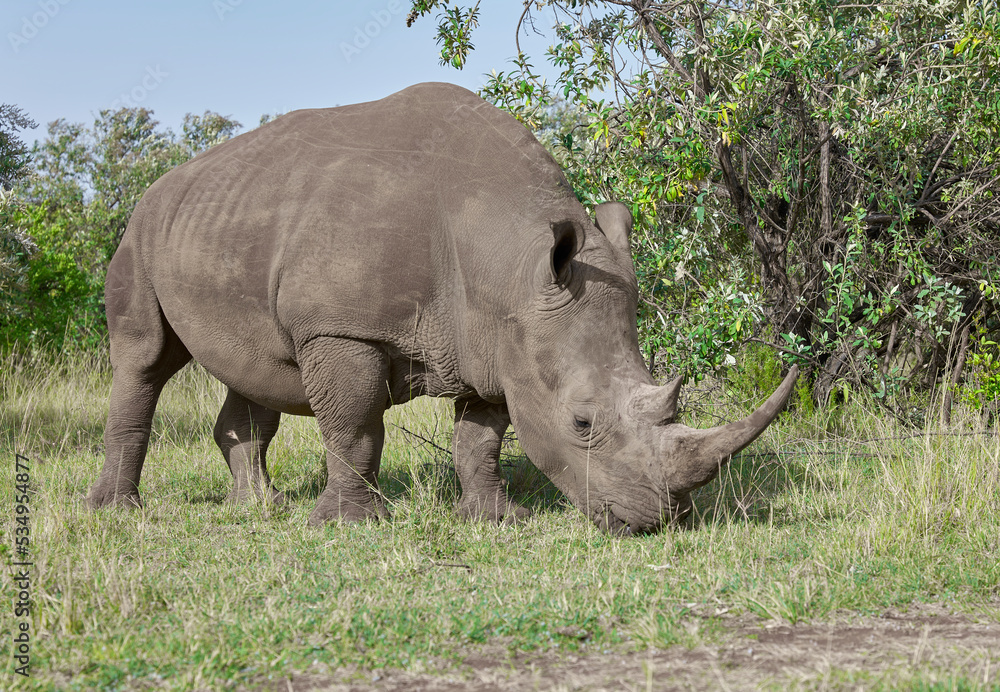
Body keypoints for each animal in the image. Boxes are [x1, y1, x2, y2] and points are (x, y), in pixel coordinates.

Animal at [87, 82, 797, 534]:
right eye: (582, 423)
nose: (655, 521)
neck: (508, 259)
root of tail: (160, 185)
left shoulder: (500, 339)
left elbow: (480, 437)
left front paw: (495, 520)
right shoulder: (342, 329)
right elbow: (354, 426)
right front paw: (351, 526)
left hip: (223, 225)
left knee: (252, 372)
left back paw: (259, 507)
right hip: (141, 234)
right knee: (145, 361)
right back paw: (117, 512)